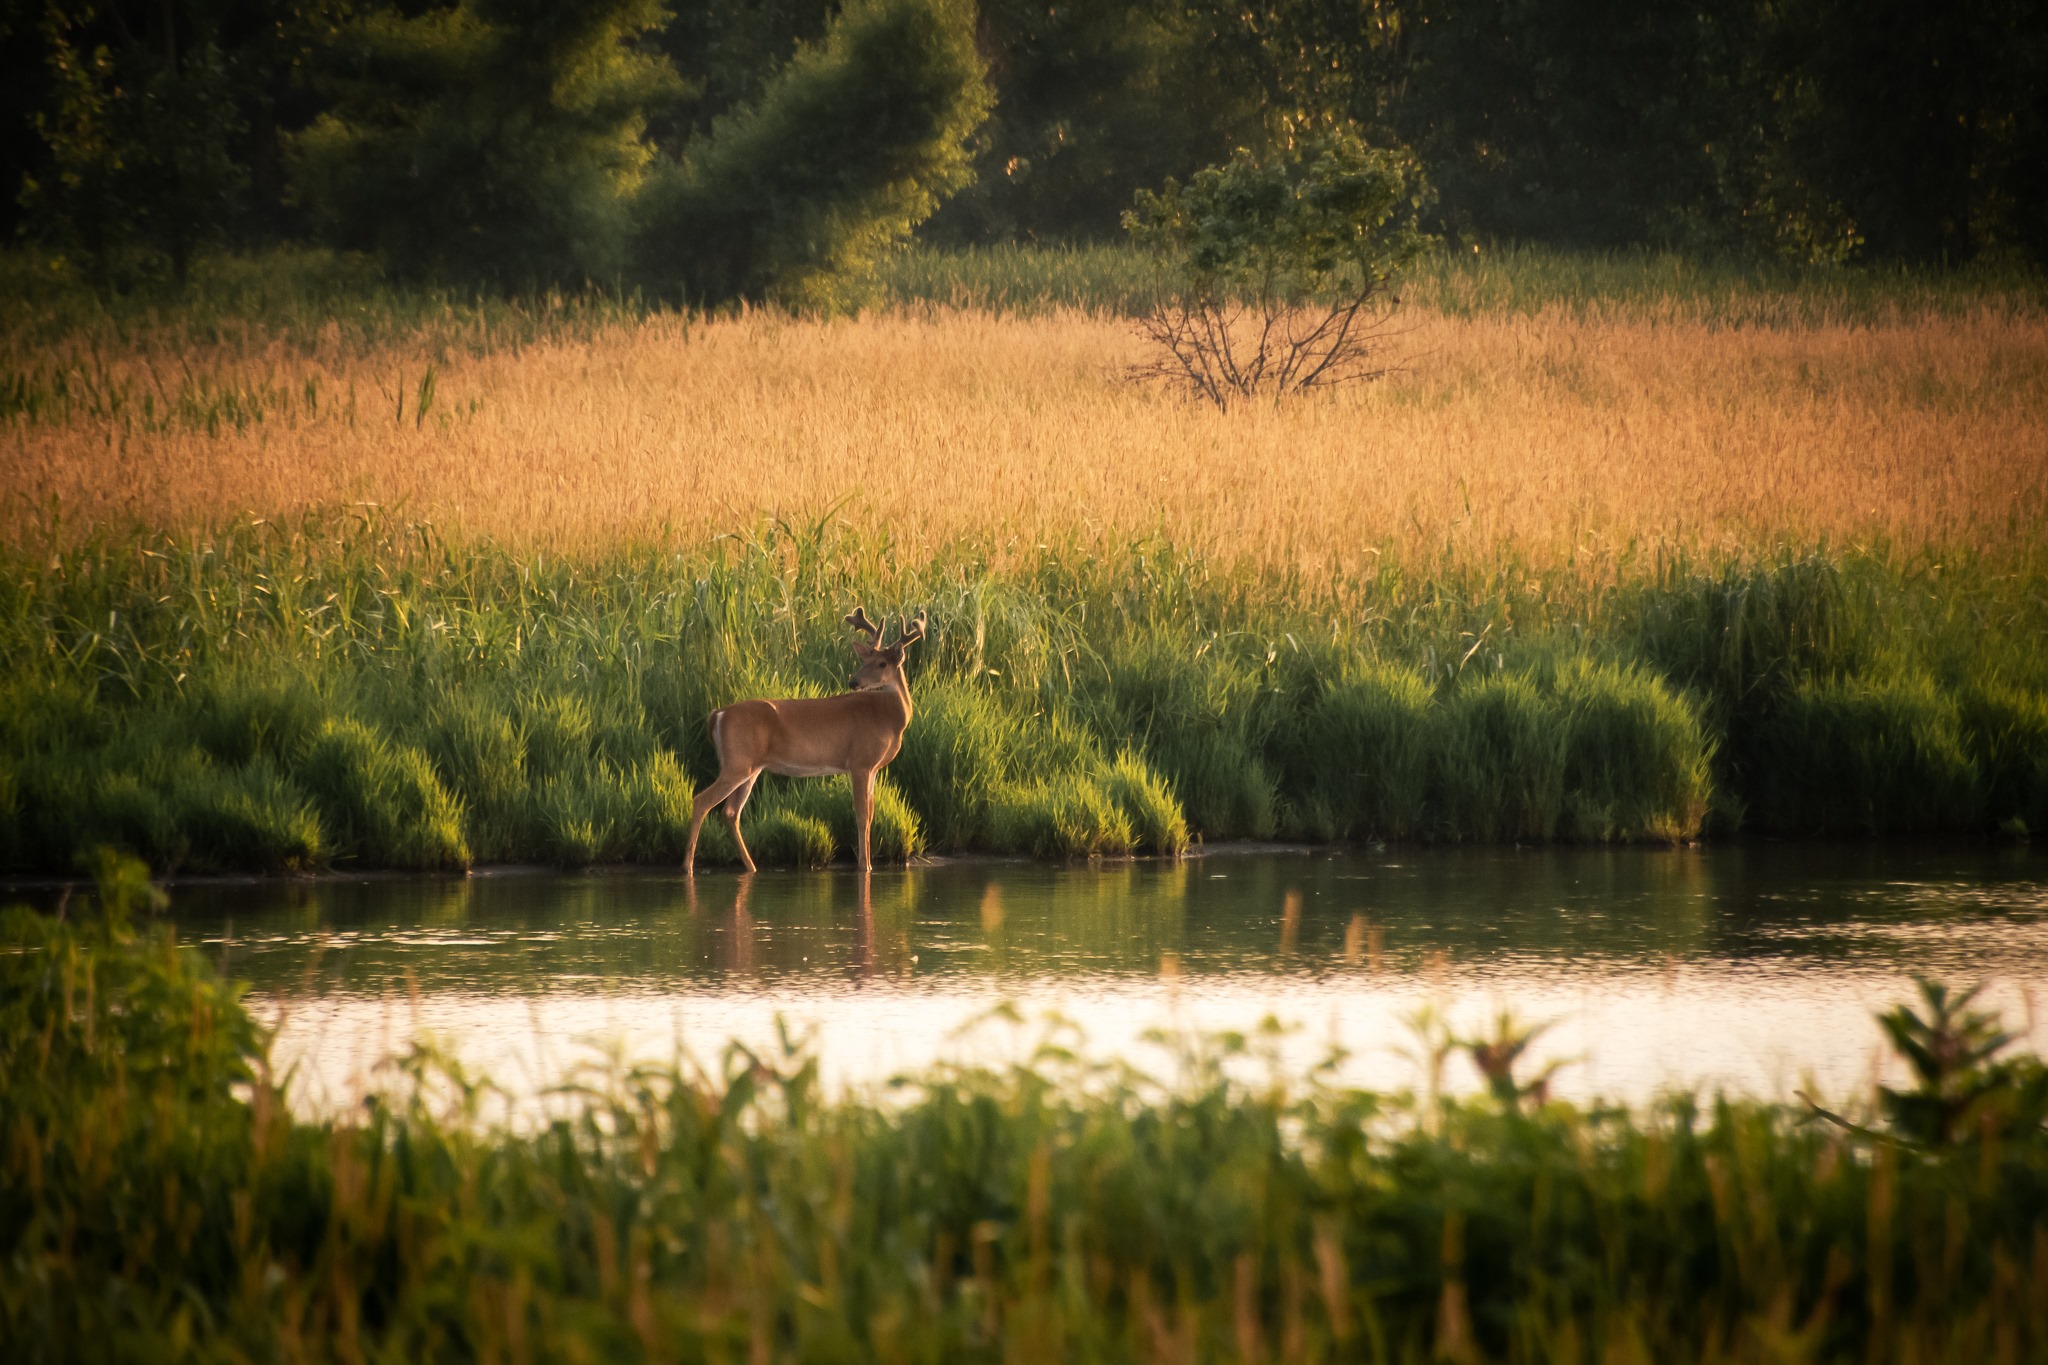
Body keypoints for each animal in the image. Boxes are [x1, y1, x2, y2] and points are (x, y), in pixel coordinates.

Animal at [684, 605, 925, 875]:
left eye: (882, 663)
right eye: (865, 661)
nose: (853, 682)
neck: (889, 718)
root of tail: (717, 714)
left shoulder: (872, 768)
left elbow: (871, 814)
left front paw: (868, 864)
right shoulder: (860, 762)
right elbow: (862, 816)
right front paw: (865, 866)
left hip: (749, 767)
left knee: (730, 812)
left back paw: (751, 867)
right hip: (738, 762)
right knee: (702, 801)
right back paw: (688, 866)